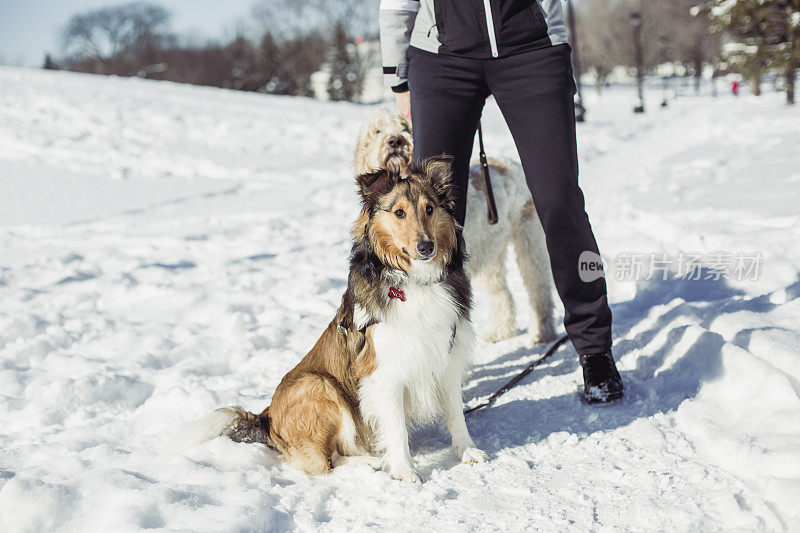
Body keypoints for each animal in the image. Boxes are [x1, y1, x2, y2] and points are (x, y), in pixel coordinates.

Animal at [195, 155, 488, 482]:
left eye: (430, 208)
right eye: (399, 212)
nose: (426, 247)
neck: (413, 280)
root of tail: (267, 418)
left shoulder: (447, 356)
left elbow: (456, 414)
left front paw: (467, 452)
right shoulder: (383, 372)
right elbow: (396, 428)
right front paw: (404, 470)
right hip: (320, 384)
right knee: (326, 462)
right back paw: (369, 463)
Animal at [356, 110, 556, 348]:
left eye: (404, 126)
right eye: (377, 130)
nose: (396, 140)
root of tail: (511, 163)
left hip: (529, 243)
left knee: (539, 289)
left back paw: (541, 333)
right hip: (492, 253)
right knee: (503, 293)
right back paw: (501, 332)